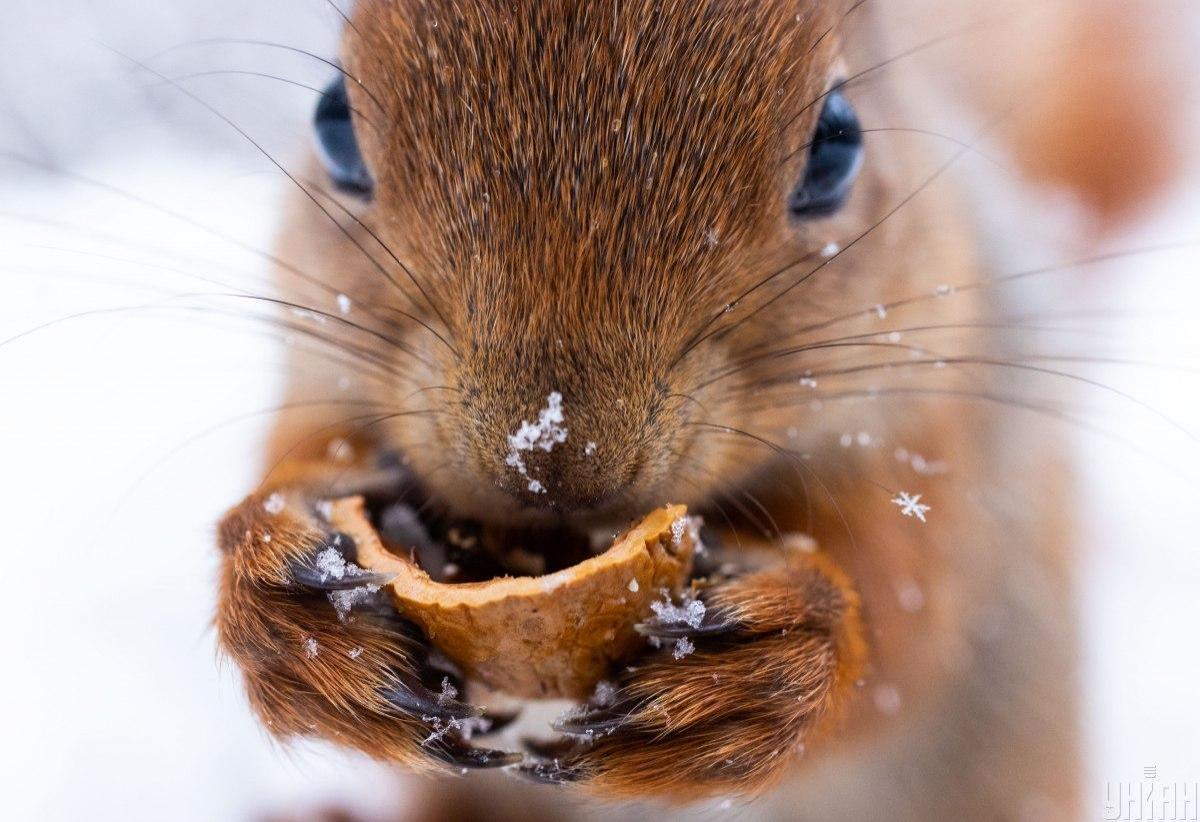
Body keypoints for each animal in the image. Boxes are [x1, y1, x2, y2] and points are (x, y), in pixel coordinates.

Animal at [211, 0, 1176, 816]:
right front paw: (290, 604)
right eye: (333, 126)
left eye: (838, 146)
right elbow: (293, 456)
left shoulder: (945, 430)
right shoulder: (319, 368)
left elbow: (914, 606)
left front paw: (769, 663)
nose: (549, 458)